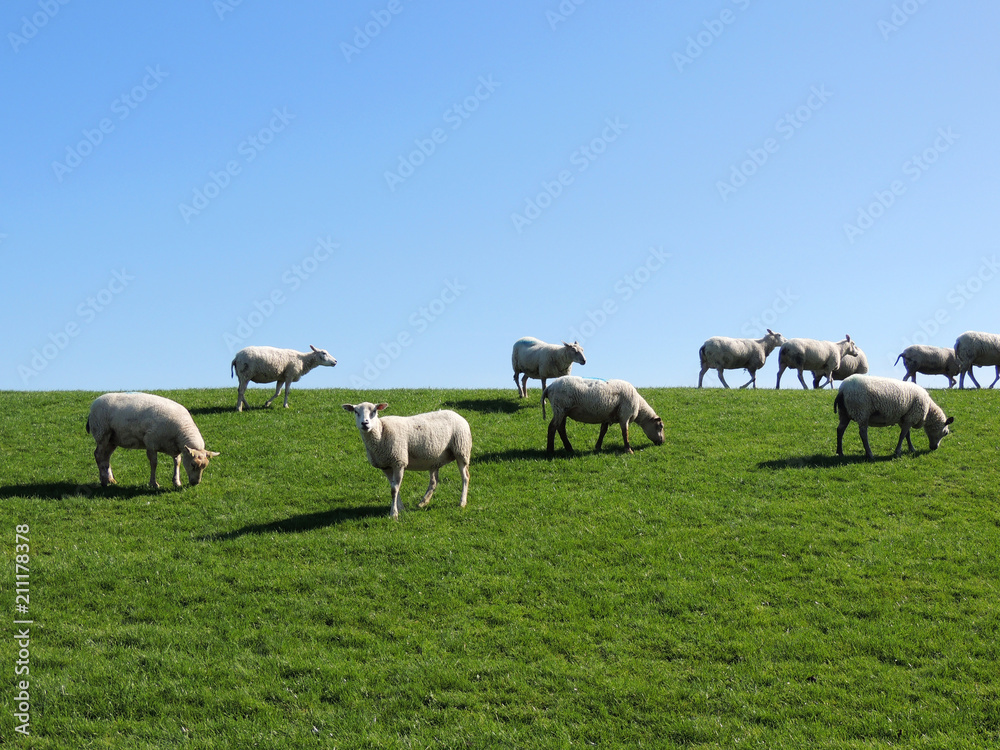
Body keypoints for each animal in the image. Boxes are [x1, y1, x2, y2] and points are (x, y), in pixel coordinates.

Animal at [86, 390, 221, 490]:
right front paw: (154, 484)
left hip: (112, 439)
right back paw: (104, 481)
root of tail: (92, 407)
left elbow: (177, 462)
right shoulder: (151, 442)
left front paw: (176, 482)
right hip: (102, 432)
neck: (182, 430)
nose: (195, 483)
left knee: (106, 457)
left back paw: (110, 479)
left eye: (205, 466)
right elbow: (154, 463)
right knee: (98, 455)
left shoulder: (174, 447)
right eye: (193, 464)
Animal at [342, 402, 470, 520]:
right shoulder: (386, 466)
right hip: (435, 459)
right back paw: (423, 503)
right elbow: (394, 487)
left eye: (374, 411)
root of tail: (457, 414)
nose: (365, 423)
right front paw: (401, 508)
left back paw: (462, 502)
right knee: (434, 482)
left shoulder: (399, 461)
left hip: (461, 450)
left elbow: (394, 489)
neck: (381, 431)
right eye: (356, 412)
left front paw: (394, 514)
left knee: (465, 477)